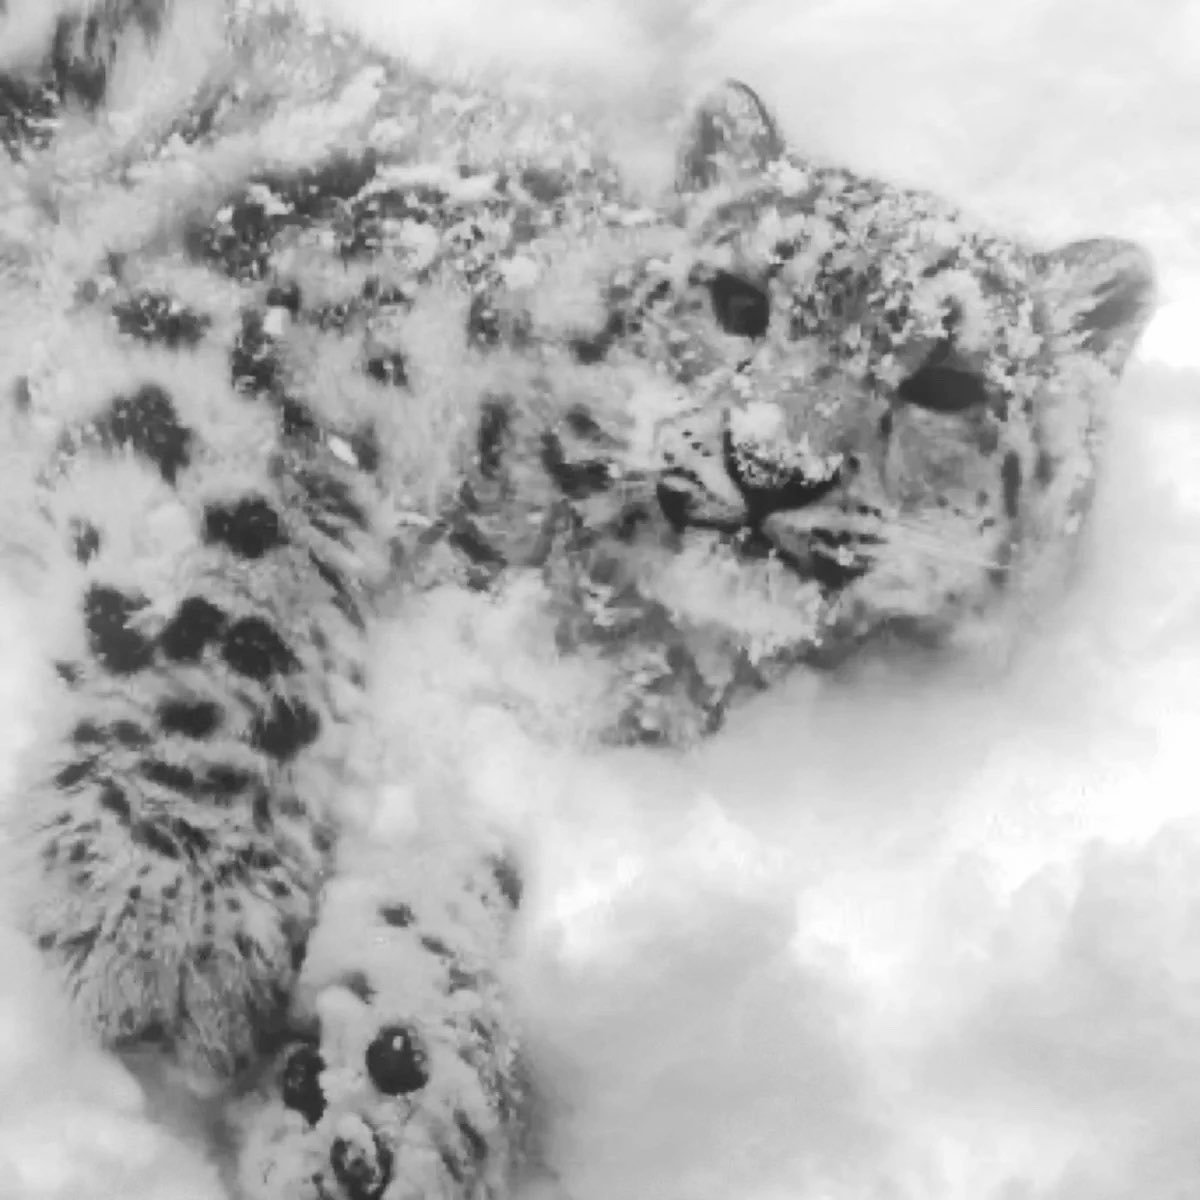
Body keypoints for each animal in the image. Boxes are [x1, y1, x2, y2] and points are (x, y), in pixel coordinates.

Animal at [0, 1, 1157, 1198]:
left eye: (949, 383)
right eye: (740, 300)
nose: (772, 465)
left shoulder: (490, 725)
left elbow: (444, 864)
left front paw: (383, 1098)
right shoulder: (240, 337)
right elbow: (235, 592)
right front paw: (168, 906)